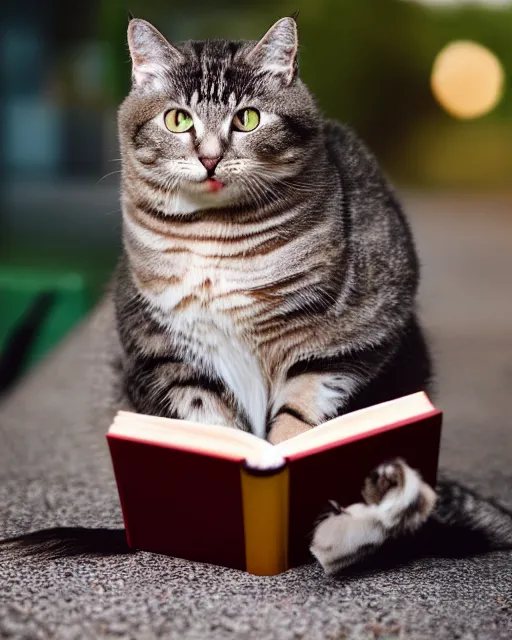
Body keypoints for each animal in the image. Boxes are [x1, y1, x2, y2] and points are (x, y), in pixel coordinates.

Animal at [115, 16, 436, 576]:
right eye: (178, 119)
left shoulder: (355, 334)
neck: (216, 241)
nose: (210, 158)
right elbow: (210, 418)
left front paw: (283, 458)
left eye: (247, 119)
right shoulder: (167, 350)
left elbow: (300, 412)